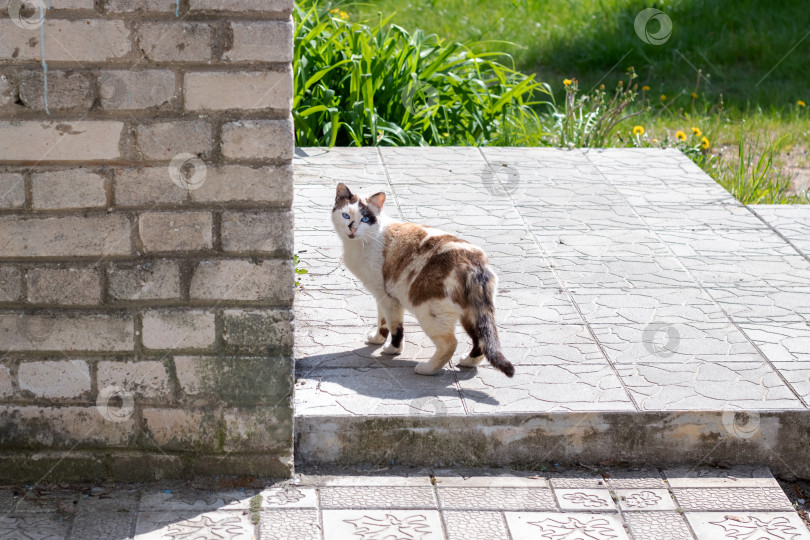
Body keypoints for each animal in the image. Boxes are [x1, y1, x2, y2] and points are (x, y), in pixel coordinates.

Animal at [332, 184, 516, 378]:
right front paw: (377, 339)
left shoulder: (387, 297)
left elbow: (395, 327)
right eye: (346, 215)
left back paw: (427, 369)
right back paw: (467, 362)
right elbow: (382, 322)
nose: (352, 228)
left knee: (450, 344)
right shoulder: (379, 296)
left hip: (427, 311)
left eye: (365, 219)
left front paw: (392, 350)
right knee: (480, 341)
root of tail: (475, 264)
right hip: (471, 313)